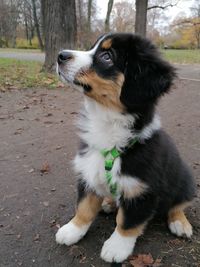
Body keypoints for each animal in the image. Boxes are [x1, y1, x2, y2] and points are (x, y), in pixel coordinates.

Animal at [55, 33, 196, 264]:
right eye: (92, 47)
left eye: (106, 56)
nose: (60, 55)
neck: (107, 126)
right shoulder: (88, 173)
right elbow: (84, 208)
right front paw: (72, 230)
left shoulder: (142, 190)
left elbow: (128, 222)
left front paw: (116, 248)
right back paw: (109, 203)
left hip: (184, 180)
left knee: (178, 205)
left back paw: (180, 223)